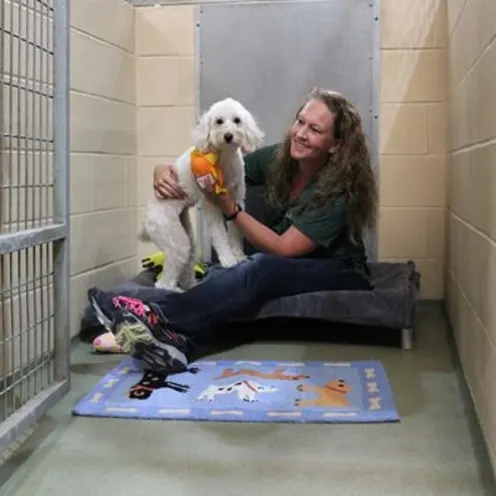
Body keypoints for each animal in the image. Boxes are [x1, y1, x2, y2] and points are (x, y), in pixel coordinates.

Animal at [140, 97, 264, 292]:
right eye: (219, 121)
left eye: (237, 120)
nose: (228, 136)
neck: (224, 158)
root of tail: (147, 220)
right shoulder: (210, 203)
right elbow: (219, 234)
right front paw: (229, 259)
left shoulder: (237, 199)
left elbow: (235, 231)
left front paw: (238, 255)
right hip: (173, 239)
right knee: (163, 282)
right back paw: (174, 290)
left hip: (187, 238)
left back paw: (191, 286)